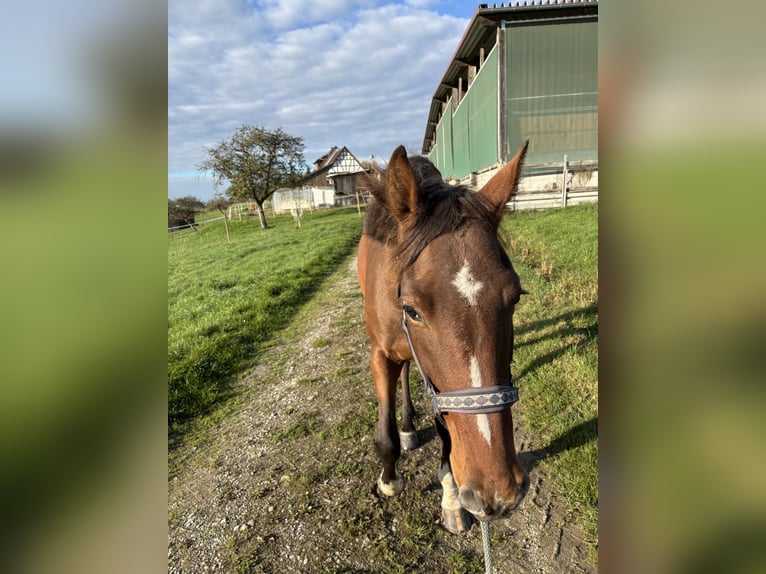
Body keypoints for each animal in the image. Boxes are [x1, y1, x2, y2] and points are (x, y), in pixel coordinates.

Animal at [356, 141, 532, 536]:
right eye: (412, 310)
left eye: (515, 297)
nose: (499, 493)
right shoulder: (380, 355)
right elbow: (385, 435)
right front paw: (389, 479)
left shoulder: (441, 387)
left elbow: (448, 439)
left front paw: (452, 499)